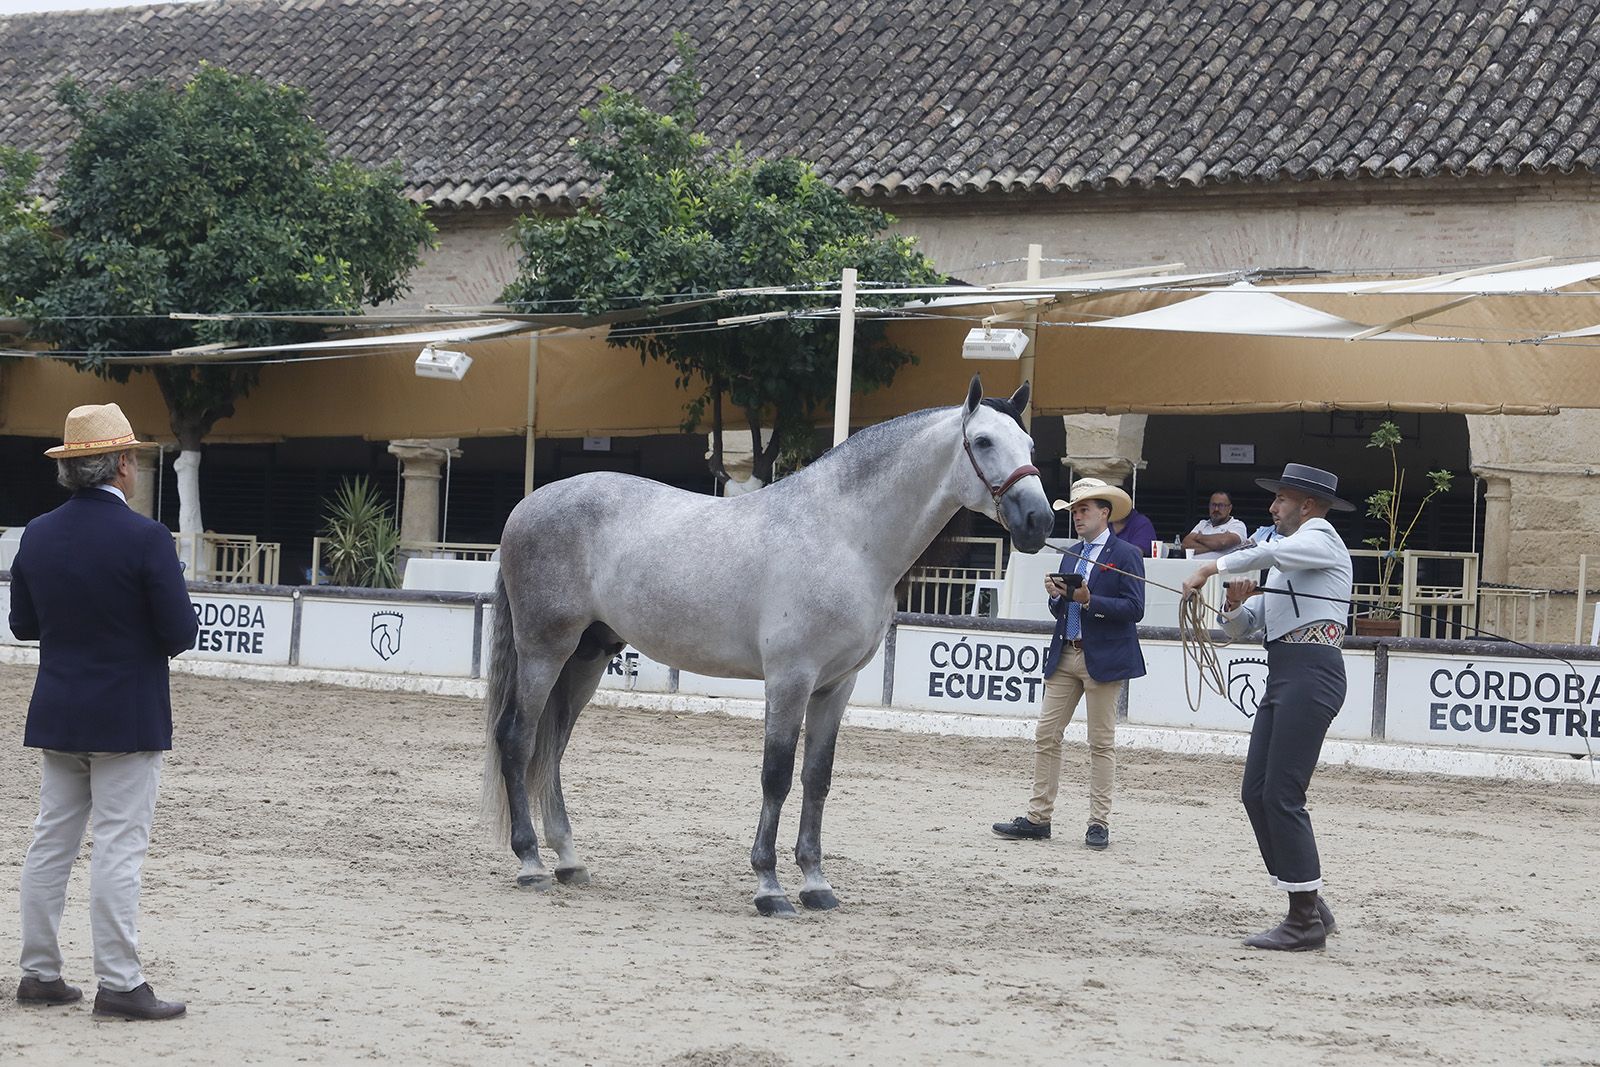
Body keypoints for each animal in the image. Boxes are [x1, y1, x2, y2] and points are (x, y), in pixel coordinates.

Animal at [476, 377, 1049, 921]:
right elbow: (776, 776)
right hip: (545, 650)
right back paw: (530, 863)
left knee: (552, 747)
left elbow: (817, 778)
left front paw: (816, 884)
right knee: (518, 739)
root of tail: (529, 504)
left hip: (587, 657)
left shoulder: (836, 686)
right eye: (983, 440)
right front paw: (769, 887)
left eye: (1029, 443)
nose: (1039, 521)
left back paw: (569, 860)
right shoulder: (790, 678)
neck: (843, 536)